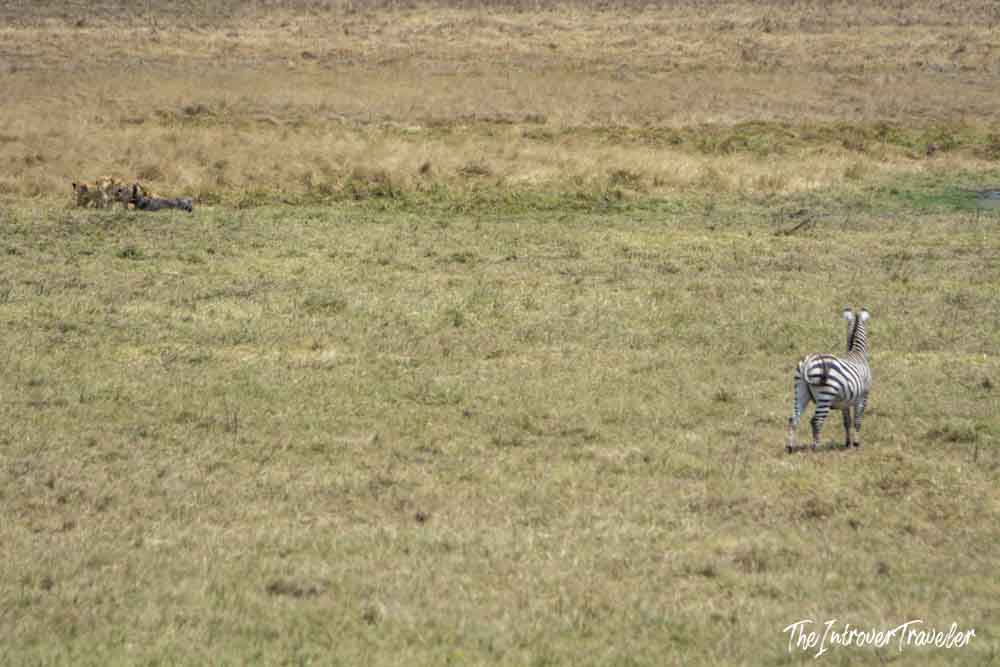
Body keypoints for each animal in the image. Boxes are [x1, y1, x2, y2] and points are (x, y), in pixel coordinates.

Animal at [786, 307, 872, 453]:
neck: (856, 352)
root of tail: (808, 362)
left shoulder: (845, 401)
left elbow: (847, 422)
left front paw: (847, 443)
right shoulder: (863, 397)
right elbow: (857, 421)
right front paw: (855, 443)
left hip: (800, 391)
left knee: (793, 419)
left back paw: (790, 447)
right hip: (825, 395)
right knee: (816, 421)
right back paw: (816, 447)